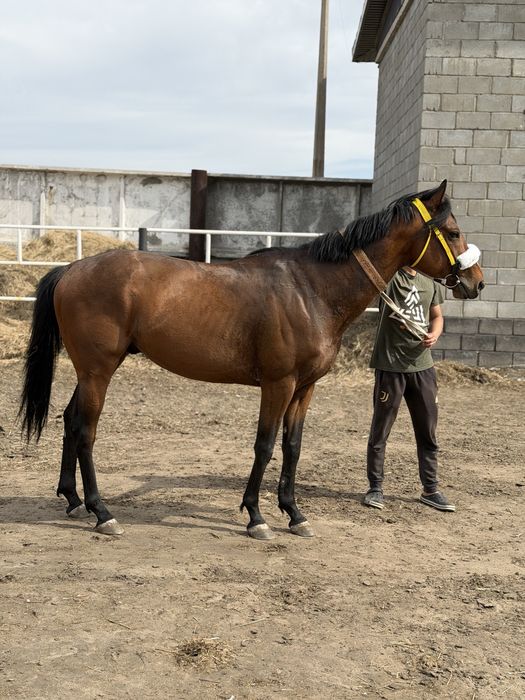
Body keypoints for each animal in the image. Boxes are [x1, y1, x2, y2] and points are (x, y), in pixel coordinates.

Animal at [19, 180, 484, 539]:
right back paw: (102, 512)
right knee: (85, 431)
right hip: (98, 371)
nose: (476, 282)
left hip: (92, 371)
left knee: (69, 420)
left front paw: (294, 514)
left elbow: (292, 446)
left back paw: (73, 499)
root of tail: (71, 269)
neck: (311, 289)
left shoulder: (304, 388)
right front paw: (256, 516)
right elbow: (264, 445)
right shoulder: (278, 384)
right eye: (453, 232)